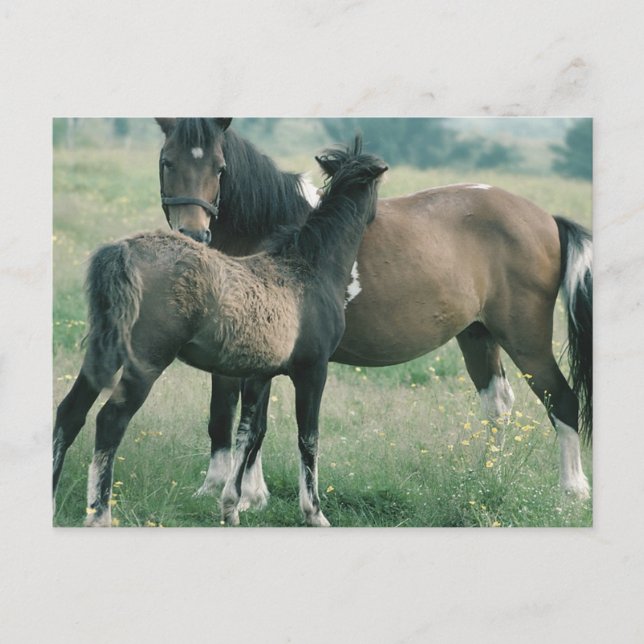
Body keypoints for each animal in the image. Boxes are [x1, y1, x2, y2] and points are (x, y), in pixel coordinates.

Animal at [52, 137, 387, 527]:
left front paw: (232, 507)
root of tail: (124, 250)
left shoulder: (259, 373)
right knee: (110, 421)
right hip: (147, 361)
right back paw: (99, 515)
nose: (377, 217)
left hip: (102, 352)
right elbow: (308, 438)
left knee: (70, 412)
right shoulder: (313, 370)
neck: (309, 268)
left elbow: (248, 433)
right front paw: (314, 512)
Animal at [155, 118, 593, 507]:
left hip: (525, 338)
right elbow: (226, 417)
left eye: (220, 167)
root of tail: (546, 219)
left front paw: (246, 494)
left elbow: (247, 422)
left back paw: (572, 491)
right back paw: (485, 479)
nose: (194, 233)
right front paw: (219, 489)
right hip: (477, 333)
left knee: (562, 400)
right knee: (497, 404)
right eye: (167, 161)